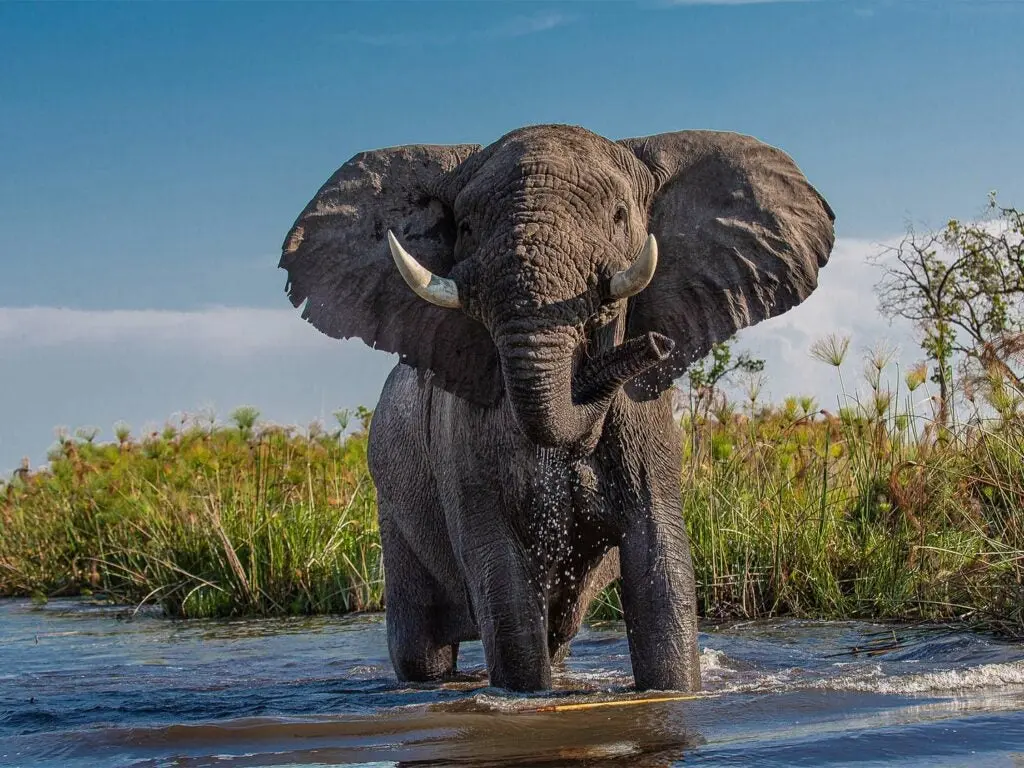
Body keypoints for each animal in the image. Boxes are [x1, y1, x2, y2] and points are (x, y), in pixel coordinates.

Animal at [278, 124, 831, 692]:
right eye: (466, 227)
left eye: (619, 216)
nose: (654, 344)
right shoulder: (463, 439)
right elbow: (502, 581)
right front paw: (524, 698)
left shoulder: (648, 427)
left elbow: (661, 566)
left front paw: (673, 692)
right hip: (392, 502)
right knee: (422, 649)